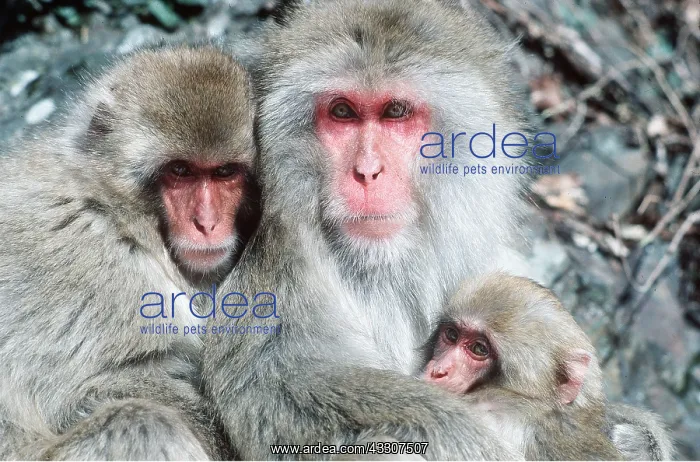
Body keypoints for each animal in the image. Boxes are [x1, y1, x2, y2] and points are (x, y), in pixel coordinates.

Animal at [0, 47, 257, 459]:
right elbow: (86, 391)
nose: (207, 224)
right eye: (179, 171)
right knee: (143, 426)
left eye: (224, 172)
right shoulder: (91, 269)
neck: (113, 211)